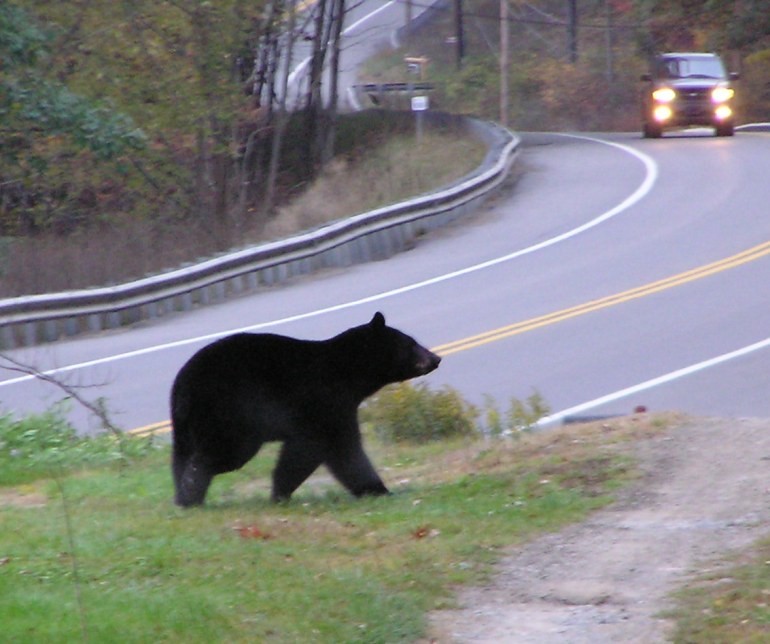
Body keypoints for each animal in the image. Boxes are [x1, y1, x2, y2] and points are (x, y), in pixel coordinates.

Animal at [171, 314, 440, 508]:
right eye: (412, 343)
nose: (436, 358)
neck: (348, 372)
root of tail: (182, 386)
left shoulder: (338, 407)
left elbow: (340, 450)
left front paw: (376, 490)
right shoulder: (323, 402)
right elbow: (321, 448)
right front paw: (280, 494)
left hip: (188, 426)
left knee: (181, 456)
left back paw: (182, 497)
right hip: (230, 411)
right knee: (223, 454)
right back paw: (192, 488)